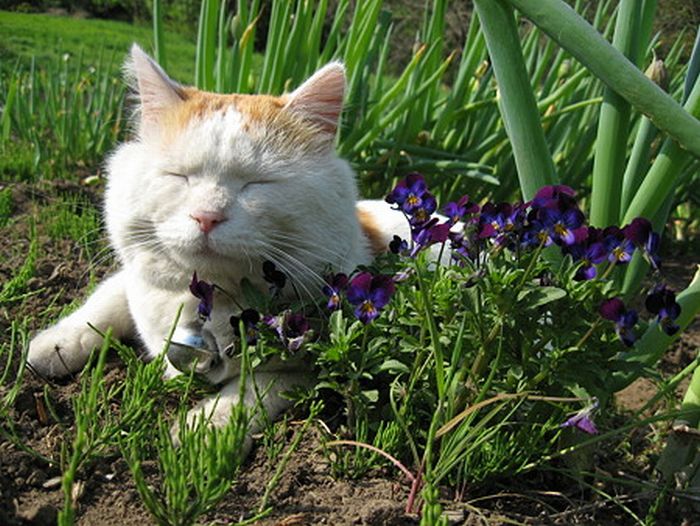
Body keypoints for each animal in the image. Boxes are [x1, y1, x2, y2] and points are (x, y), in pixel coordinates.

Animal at [28, 46, 410, 450]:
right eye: (179, 176)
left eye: (257, 183)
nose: (206, 216)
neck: (207, 300)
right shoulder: (133, 278)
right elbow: (105, 301)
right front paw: (56, 344)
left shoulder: (306, 369)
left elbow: (253, 390)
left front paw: (205, 427)